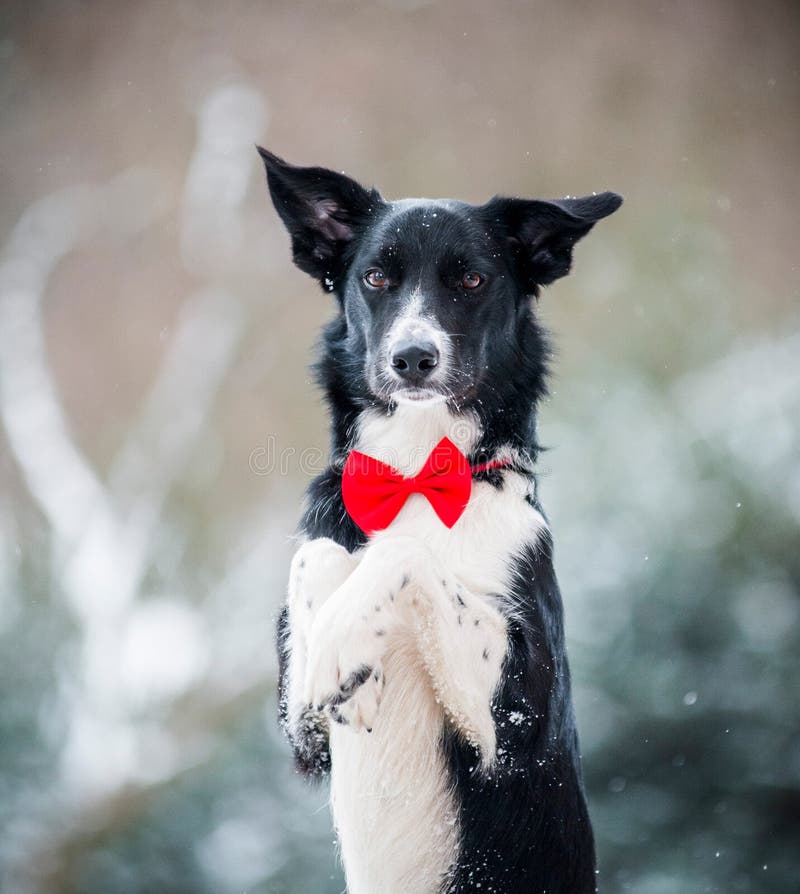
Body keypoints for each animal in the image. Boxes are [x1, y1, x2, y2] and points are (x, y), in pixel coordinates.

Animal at [260, 149, 620, 894]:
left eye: (473, 279)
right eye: (375, 276)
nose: (413, 358)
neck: (416, 475)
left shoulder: (516, 727)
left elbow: (405, 557)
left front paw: (340, 642)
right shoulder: (303, 740)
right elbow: (321, 555)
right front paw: (338, 654)